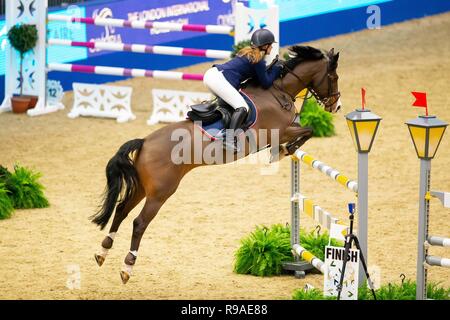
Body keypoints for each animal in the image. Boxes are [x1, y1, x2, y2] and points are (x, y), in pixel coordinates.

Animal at [90, 45, 342, 282]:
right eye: (333, 77)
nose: (335, 106)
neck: (277, 92)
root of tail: (144, 142)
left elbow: (305, 131)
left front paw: (282, 151)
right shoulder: (281, 130)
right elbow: (307, 130)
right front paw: (283, 151)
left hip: (144, 187)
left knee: (121, 210)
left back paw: (103, 252)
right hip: (160, 193)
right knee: (139, 223)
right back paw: (127, 267)